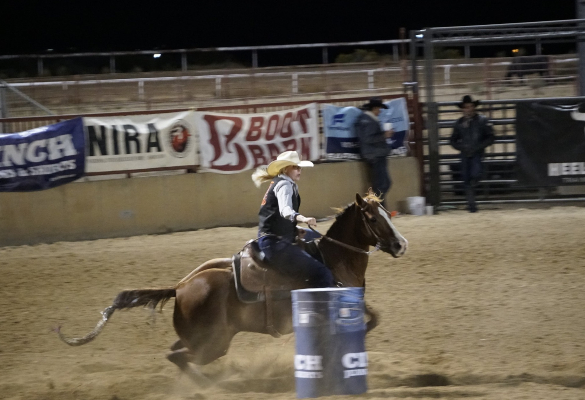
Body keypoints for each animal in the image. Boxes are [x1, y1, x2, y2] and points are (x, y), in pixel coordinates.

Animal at [58, 192, 406, 386]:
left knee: (175, 353)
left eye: (387, 213)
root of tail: (180, 287)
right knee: (178, 357)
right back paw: (209, 385)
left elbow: (373, 318)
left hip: (200, 337)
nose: (401, 244)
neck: (333, 258)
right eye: (374, 218)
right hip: (214, 343)